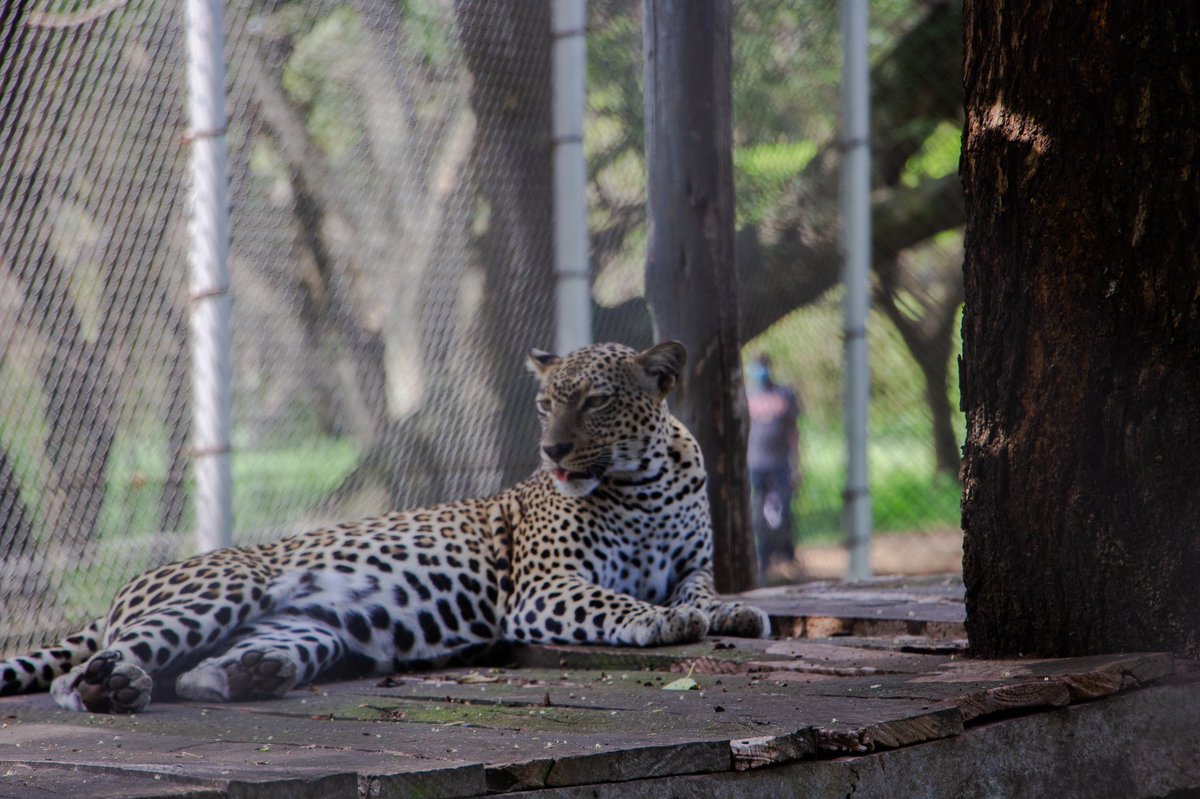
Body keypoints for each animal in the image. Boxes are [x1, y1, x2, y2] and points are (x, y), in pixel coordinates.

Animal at [0, 341, 769, 713]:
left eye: (596, 402)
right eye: (547, 402)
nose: (552, 451)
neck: (645, 482)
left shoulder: (692, 565)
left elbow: (704, 591)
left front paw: (733, 613)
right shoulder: (544, 586)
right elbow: (616, 601)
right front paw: (662, 621)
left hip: (307, 627)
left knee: (196, 674)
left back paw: (252, 673)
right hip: (223, 588)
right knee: (84, 673)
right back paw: (112, 689)